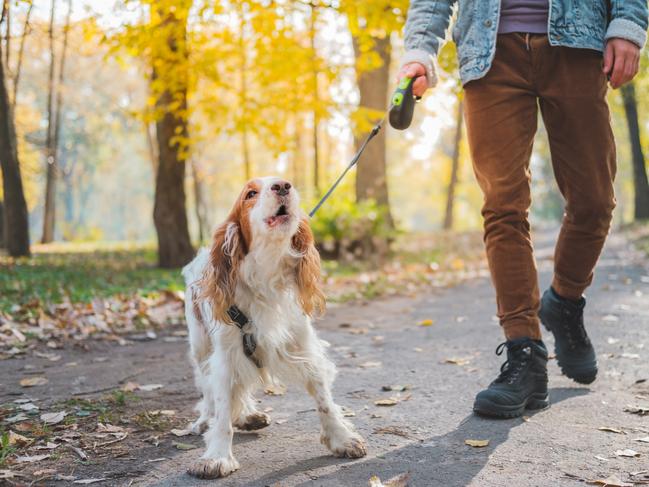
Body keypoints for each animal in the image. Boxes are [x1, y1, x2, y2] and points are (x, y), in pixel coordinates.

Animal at [182, 176, 368, 480]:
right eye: (250, 193)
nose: (283, 186)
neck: (266, 274)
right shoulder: (225, 355)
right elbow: (222, 409)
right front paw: (217, 456)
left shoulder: (303, 346)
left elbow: (324, 399)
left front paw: (341, 438)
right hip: (200, 346)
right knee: (207, 389)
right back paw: (205, 419)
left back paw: (248, 415)